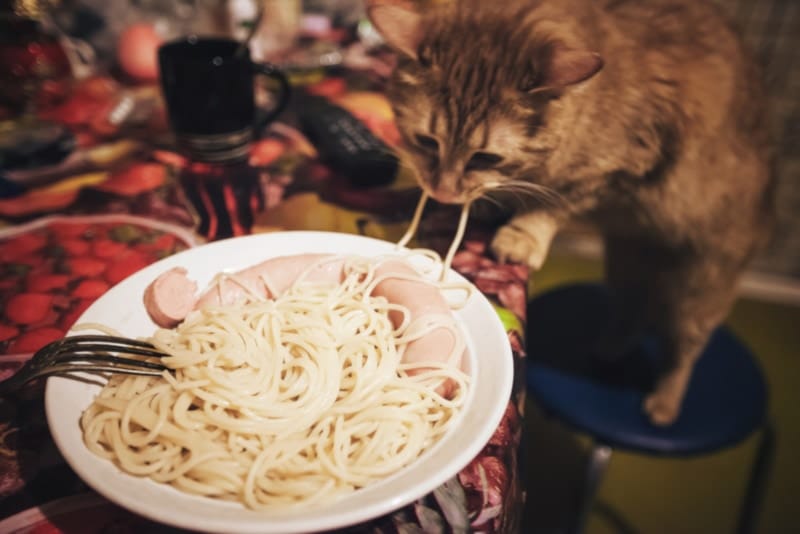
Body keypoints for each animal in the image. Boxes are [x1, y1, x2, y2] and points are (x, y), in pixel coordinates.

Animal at [368, 0, 776, 428]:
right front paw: (481, 202)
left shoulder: (616, 169)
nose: (442, 192)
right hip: (627, 263)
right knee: (634, 310)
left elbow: (552, 202)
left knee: (683, 348)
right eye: (427, 141)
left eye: (485, 157)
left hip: (700, 284)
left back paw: (663, 405)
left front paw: (520, 234)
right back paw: (610, 348)